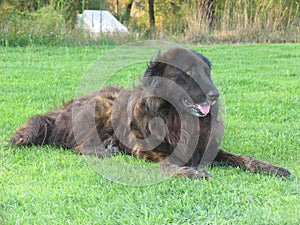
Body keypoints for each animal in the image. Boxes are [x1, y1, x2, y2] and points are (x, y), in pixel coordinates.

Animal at [9, 48, 290, 179]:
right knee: (80, 145)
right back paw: (104, 150)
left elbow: (244, 157)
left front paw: (273, 168)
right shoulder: (153, 153)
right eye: (188, 72)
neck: (176, 116)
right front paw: (193, 173)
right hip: (101, 107)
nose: (215, 95)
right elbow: (171, 165)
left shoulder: (206, 146)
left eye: (207, 72)